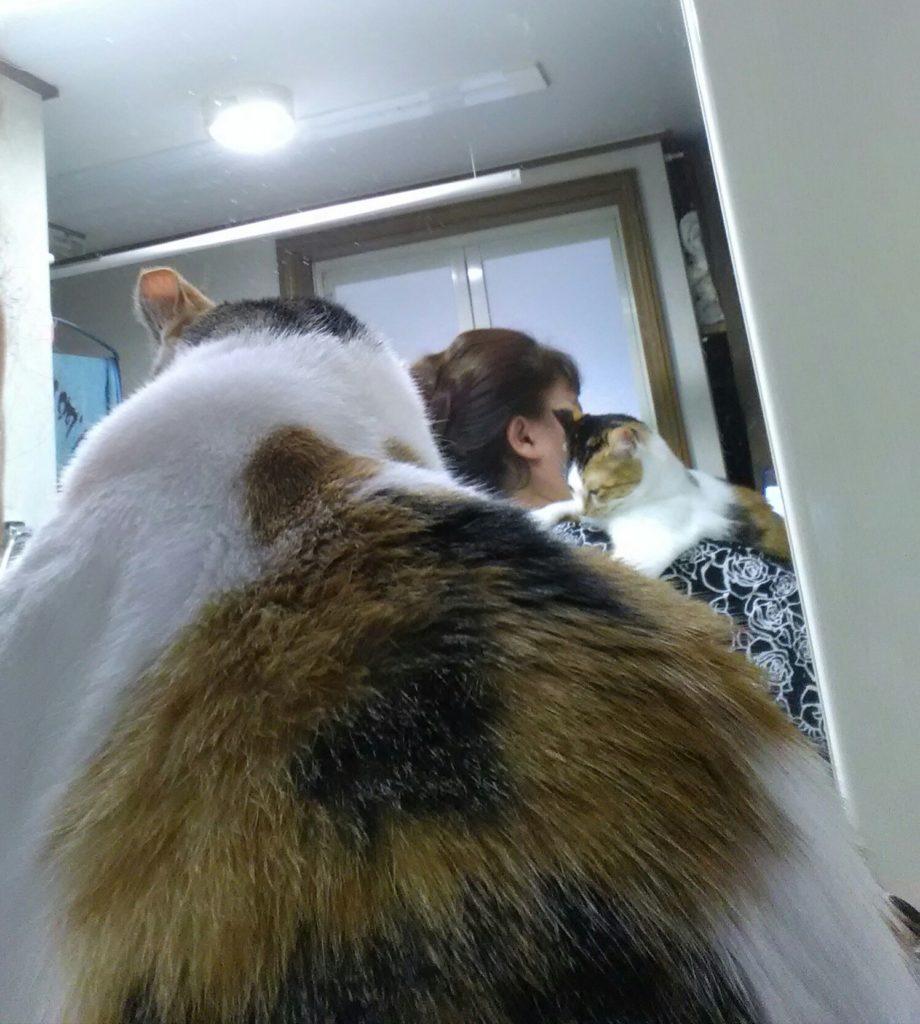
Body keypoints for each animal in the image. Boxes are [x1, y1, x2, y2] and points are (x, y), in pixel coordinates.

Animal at [538, 411, 791, 578]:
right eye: (571, 487)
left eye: (596, 491)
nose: (584, 510)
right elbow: (565, 506)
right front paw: (538, 516)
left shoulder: (647, 549)